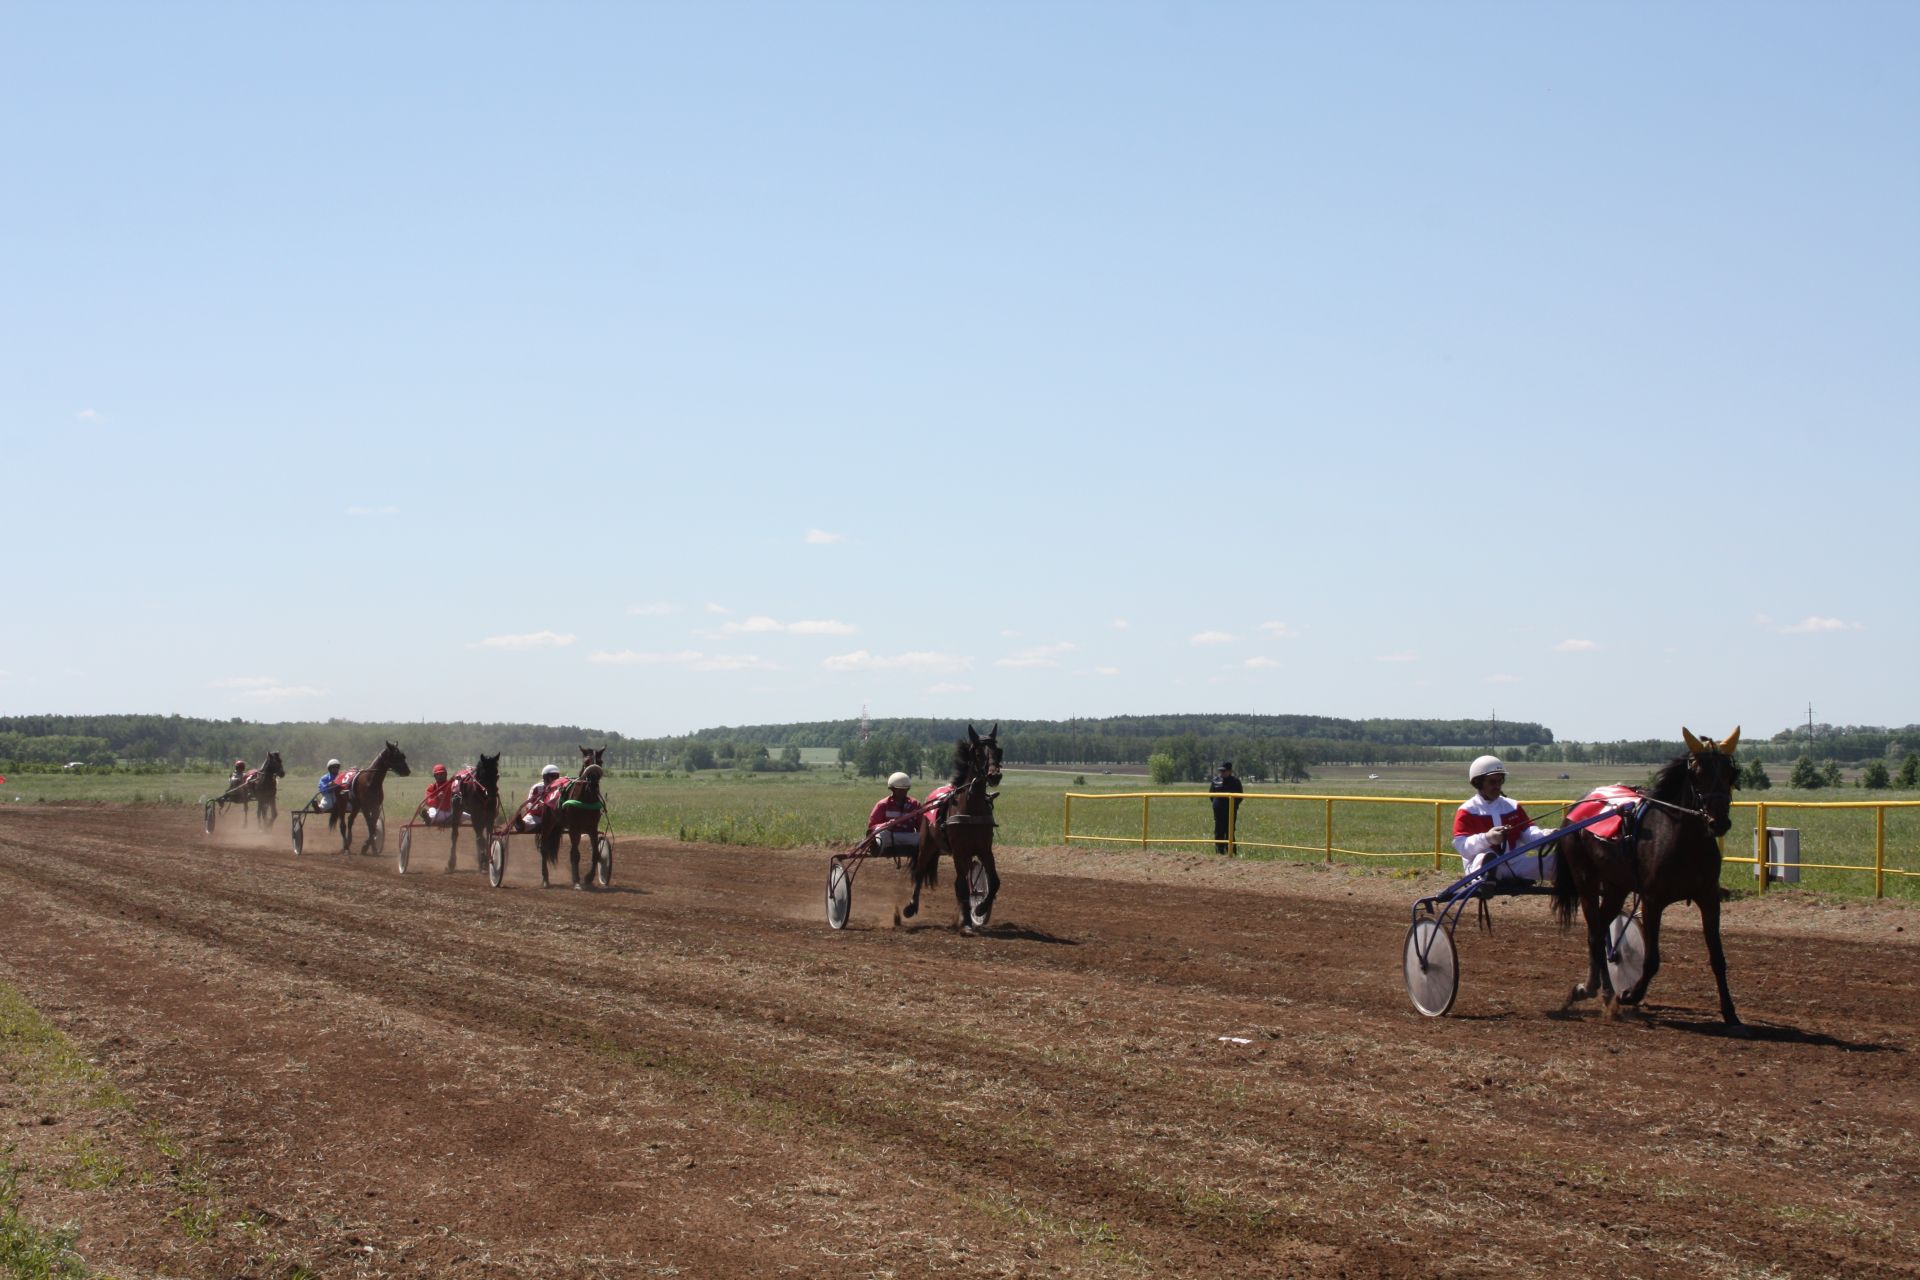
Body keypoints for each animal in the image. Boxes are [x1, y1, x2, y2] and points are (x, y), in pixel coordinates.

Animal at [541, 740, 606, 890]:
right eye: (586, 761)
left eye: (600, 761)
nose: (594, 783)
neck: (586, 798)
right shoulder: (574, 828)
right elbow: (575, 854)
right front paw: (576, 881)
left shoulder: (592, 828)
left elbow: (596, 854)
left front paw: (588, 878)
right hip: (548, 822)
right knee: (544, 848)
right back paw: (546, 879)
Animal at [898, 725, 1006, 936]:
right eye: (978, 753)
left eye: (998, 751)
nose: (994, 775)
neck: (971, 809)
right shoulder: (958, 850)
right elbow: (962, 887)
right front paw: (967, 923)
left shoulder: (984, 849)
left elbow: (994, 882)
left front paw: (980, 909)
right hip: (927, 845)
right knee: (920, 872)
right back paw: (911, 907)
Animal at [1551, 725, 1751, 1028]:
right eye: (1697, 773)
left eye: (1731, 772)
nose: (1719, 822)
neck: (1684, 843)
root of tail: (1578, 805)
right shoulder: (1652, 900)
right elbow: (1652, 959)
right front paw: (1631, 994)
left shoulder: (1708, 897)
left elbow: (1718, 957)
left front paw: (1730, 1012)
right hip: (1586, 880)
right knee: (1595, 935)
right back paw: (1597, 991)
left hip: (1615, 885)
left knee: (1600, 932)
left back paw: (1600, 990)